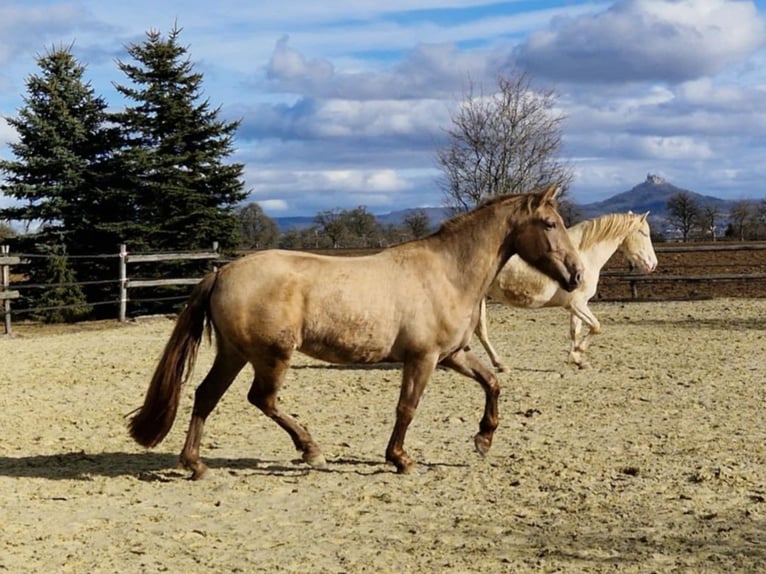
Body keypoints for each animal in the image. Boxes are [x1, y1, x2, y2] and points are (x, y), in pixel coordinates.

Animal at [128, 185, 584, 479]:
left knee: (206, 396)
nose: (577, 274)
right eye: (549, 223)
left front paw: (483, 439)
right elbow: (407, 408)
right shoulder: (422, 358)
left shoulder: (452, 355)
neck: (447, 273)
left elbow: (492, 383)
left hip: (234, 353)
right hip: (271, 356)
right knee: (262, 399)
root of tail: (222, 271)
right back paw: (311, 451)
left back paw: (195, 464)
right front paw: (400, 459)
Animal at [475, 212, 657, 370]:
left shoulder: (575, 305)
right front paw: (577, 354)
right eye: (644, 233)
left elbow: (575, 331)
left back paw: (500, 364)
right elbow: (596, 326)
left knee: (480, 331)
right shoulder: (578, 304)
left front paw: (578, 360)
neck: (583, 256)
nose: (653, 265)